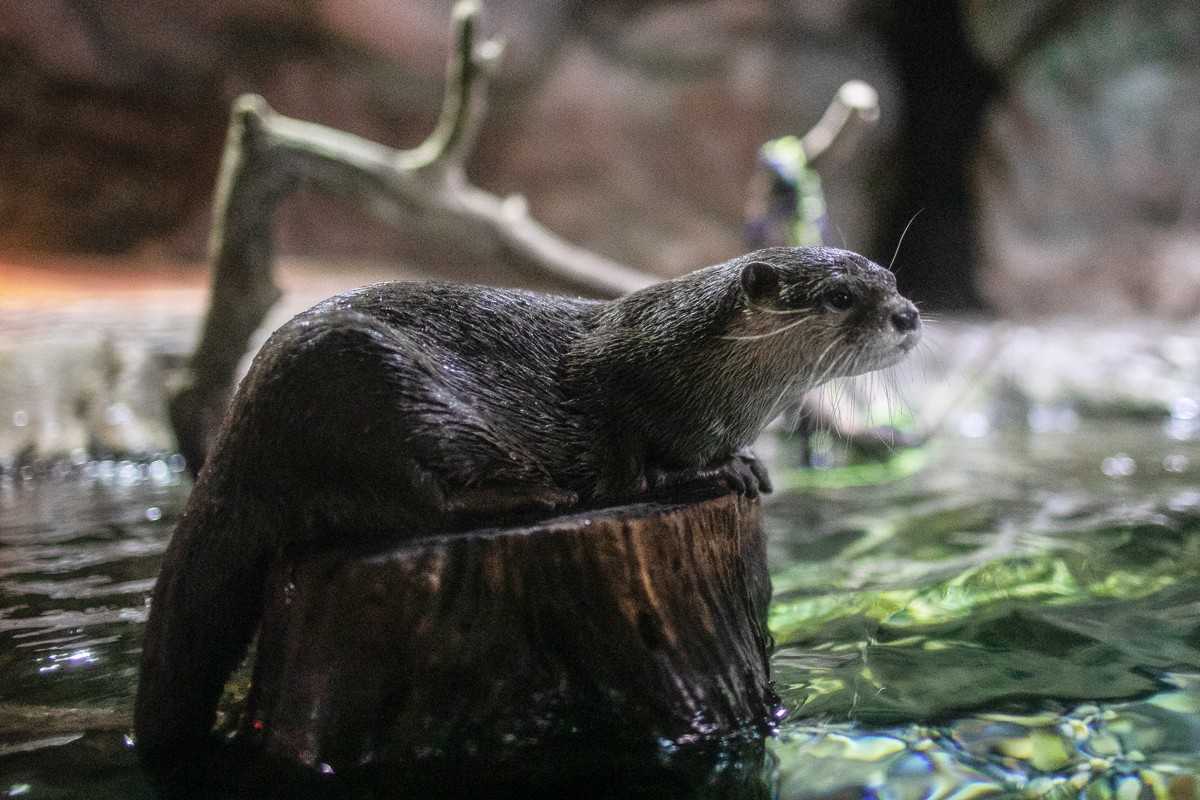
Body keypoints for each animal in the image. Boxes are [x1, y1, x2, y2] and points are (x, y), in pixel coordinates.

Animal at [136, 244, 916, 762]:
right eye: (840, 297)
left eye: (889, 277)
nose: (908, 314)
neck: (687, 367)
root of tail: (235, 441)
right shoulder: (622, 404)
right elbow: (631, 475)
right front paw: (710, 474)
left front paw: (747, 463)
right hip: (359, 383)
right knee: (413, 501)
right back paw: (531, 491)